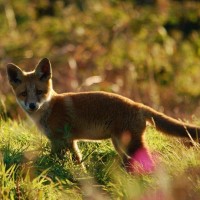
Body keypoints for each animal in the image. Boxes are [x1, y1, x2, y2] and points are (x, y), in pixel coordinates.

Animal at [6, 58, 200, 171]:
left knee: (149, 163)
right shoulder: (67, 141)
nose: (32, 105)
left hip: (129, 144)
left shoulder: (61, 141)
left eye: (39, 92)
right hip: (120, 145)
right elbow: (77, 162)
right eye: (24, 94)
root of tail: (138, 105)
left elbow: (59, 161)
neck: (50, 109)